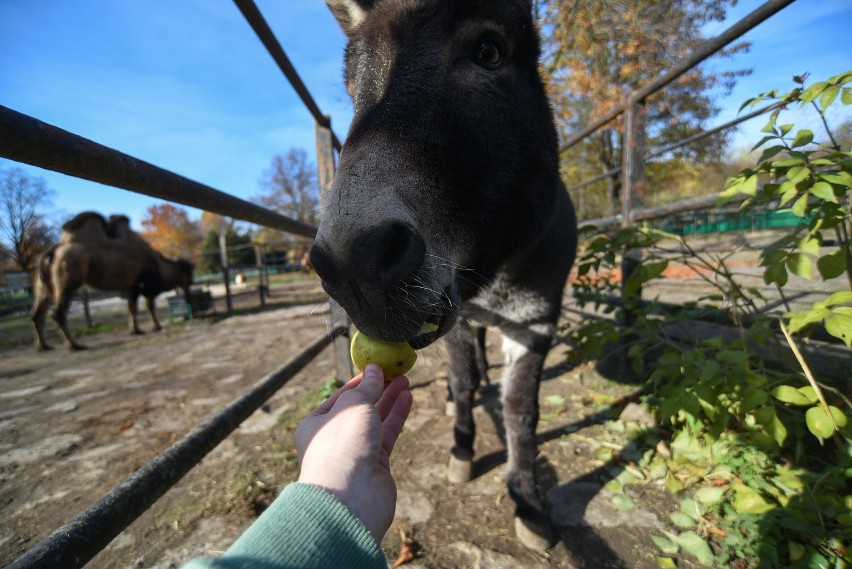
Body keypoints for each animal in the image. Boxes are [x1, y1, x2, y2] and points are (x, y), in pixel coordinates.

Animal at [30, 211, 195, 348]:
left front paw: (136, 330)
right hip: (69, 272)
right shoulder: (146, 285)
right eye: (188, 272)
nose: (190, 286)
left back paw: (44, 346)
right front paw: (157, 326)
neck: (160, 264)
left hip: (43, 283)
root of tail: (53, 250)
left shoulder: (132, 285)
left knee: (38, 313)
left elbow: (131, 308)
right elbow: (148, 306)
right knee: (58, 312)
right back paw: (74, 345)